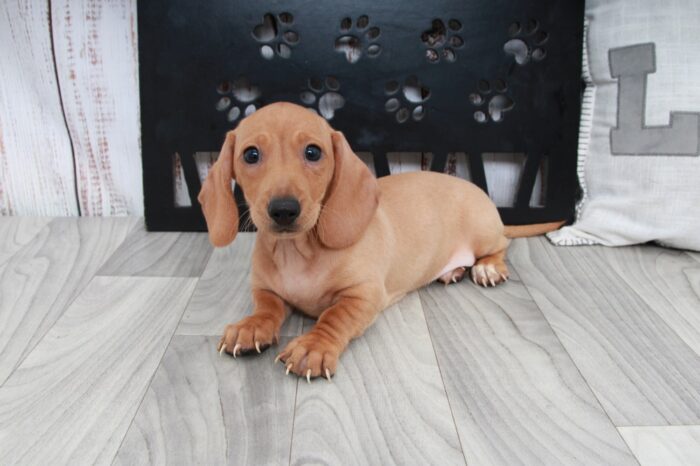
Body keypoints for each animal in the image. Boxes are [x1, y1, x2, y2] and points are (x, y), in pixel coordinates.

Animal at [200, 102, 556, 382]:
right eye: (251, 154)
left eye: (313, 152)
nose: (284, 210)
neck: (297, 251)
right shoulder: (265, 289)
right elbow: (267, 307)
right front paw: (251, 326)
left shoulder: (362, 296)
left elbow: (334, 317)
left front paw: (313, 346)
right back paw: (451, 271)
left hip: (484, 233)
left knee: (500, 247)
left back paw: (488, 268)